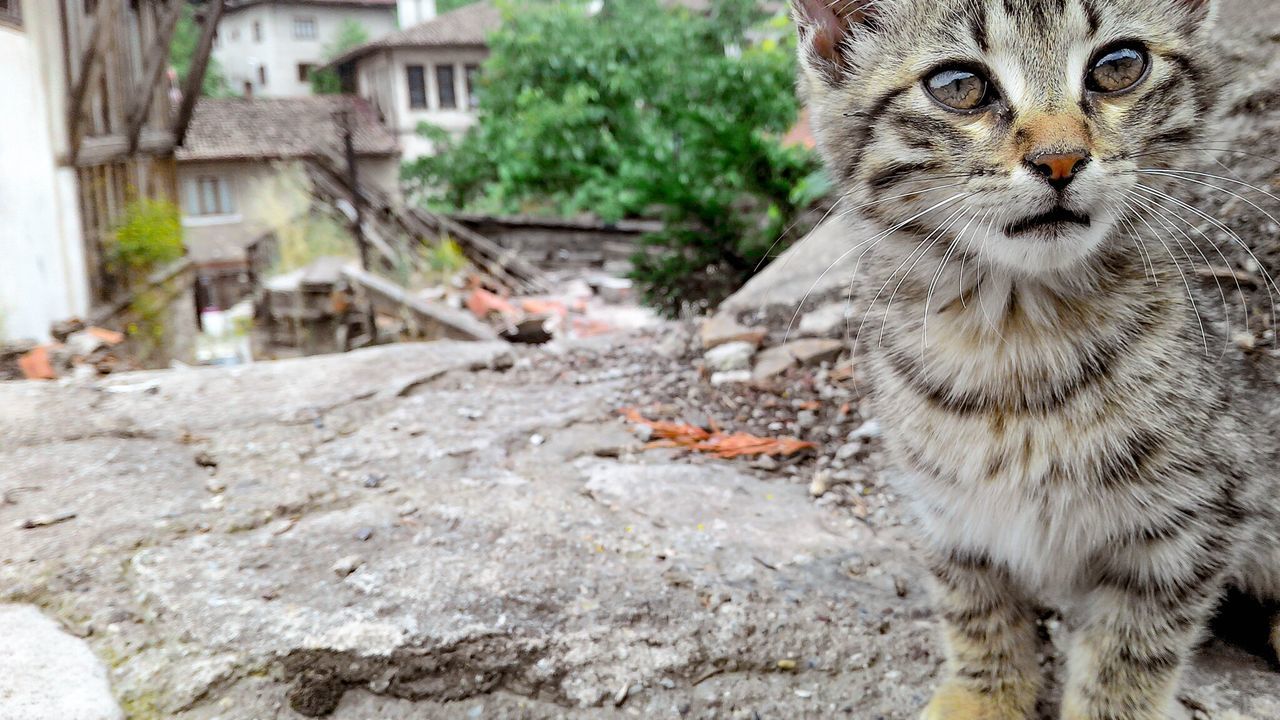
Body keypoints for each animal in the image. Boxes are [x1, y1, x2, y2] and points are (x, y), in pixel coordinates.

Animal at [788, 1, 1280, 717]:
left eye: (1120, 66)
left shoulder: (1201, 513)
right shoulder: (947, 508)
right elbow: (973, 601)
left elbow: (1135, 643)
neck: (1014, 340)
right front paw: (980, 694)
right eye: (958, 85)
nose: (1061, 158)